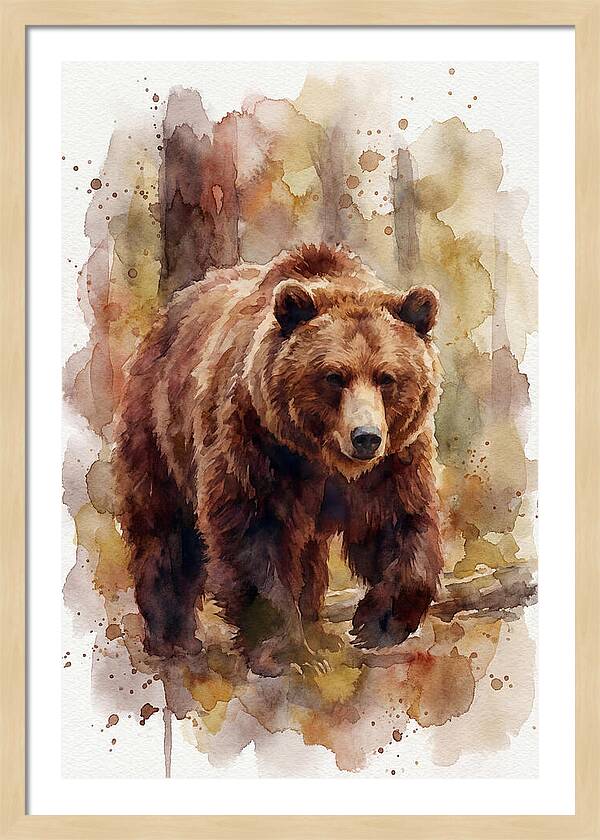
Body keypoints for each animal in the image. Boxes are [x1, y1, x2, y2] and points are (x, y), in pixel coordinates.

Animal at [114, 242, 443, 676]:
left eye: (386, 377)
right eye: (334, 376)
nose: (365, 437)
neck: (322, 457)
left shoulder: (393, 460)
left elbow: (400, 521)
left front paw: (377, 622)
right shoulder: (256, 441)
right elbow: (254, 532)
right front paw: (284, 651)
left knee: (309, 554)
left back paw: (317, 627)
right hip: (159, 426)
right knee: (165, 528)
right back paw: (173, 638)